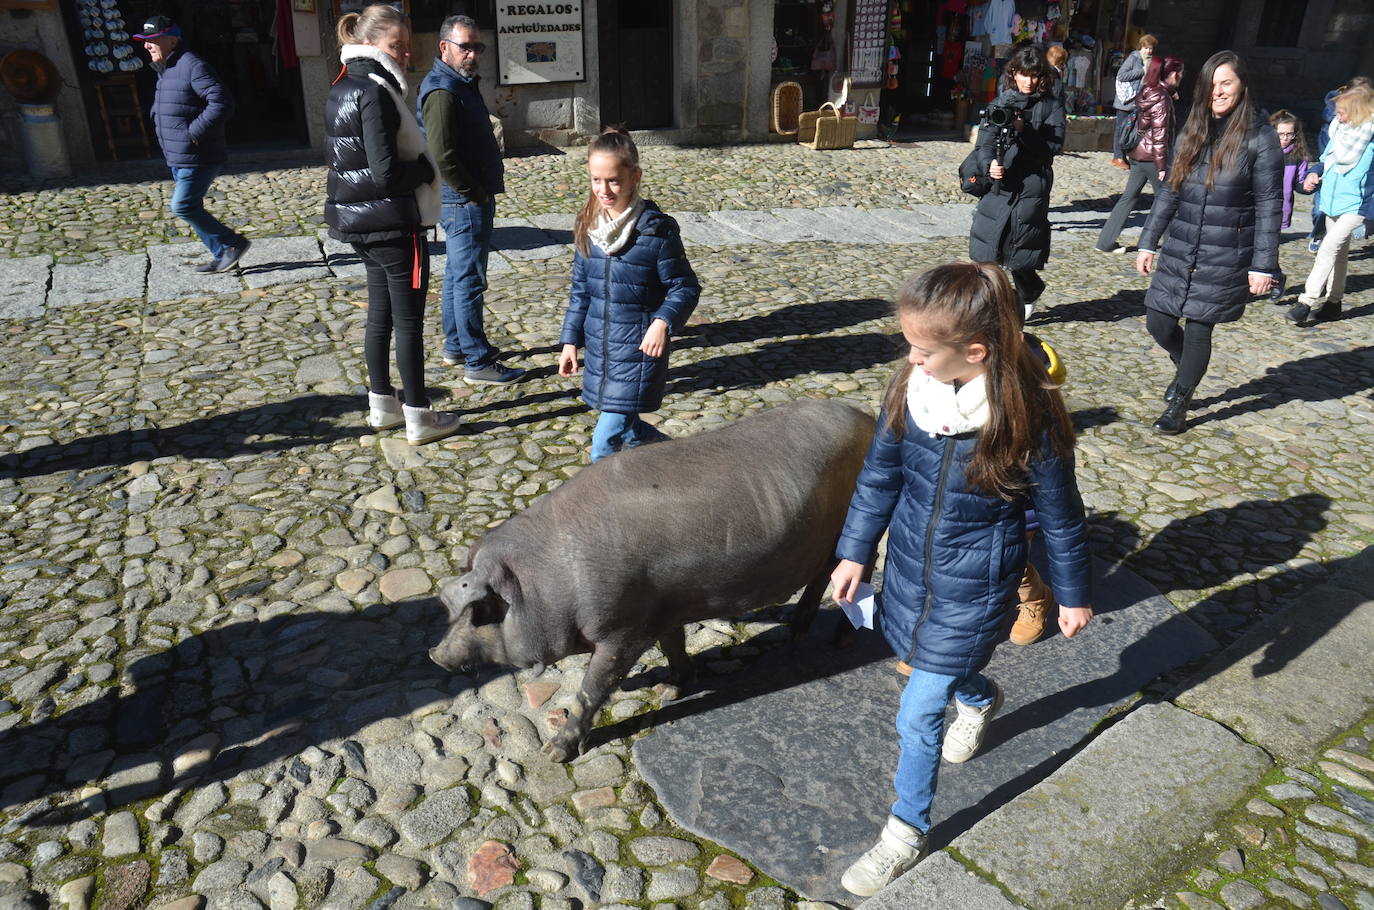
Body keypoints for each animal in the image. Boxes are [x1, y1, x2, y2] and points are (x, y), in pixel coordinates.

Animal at [434, 398, 873, 764]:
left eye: (484, 611)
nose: (435, 654)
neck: (553, 578)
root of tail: (865, 419)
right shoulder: (663, 608)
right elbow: (673, 645)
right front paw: (669, 689)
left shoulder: (623, 630)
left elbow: (594, 686)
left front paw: (553, 753)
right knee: (823, 576)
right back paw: (794, 633)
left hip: (863, 530)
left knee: (857, 577)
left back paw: (842, 641)